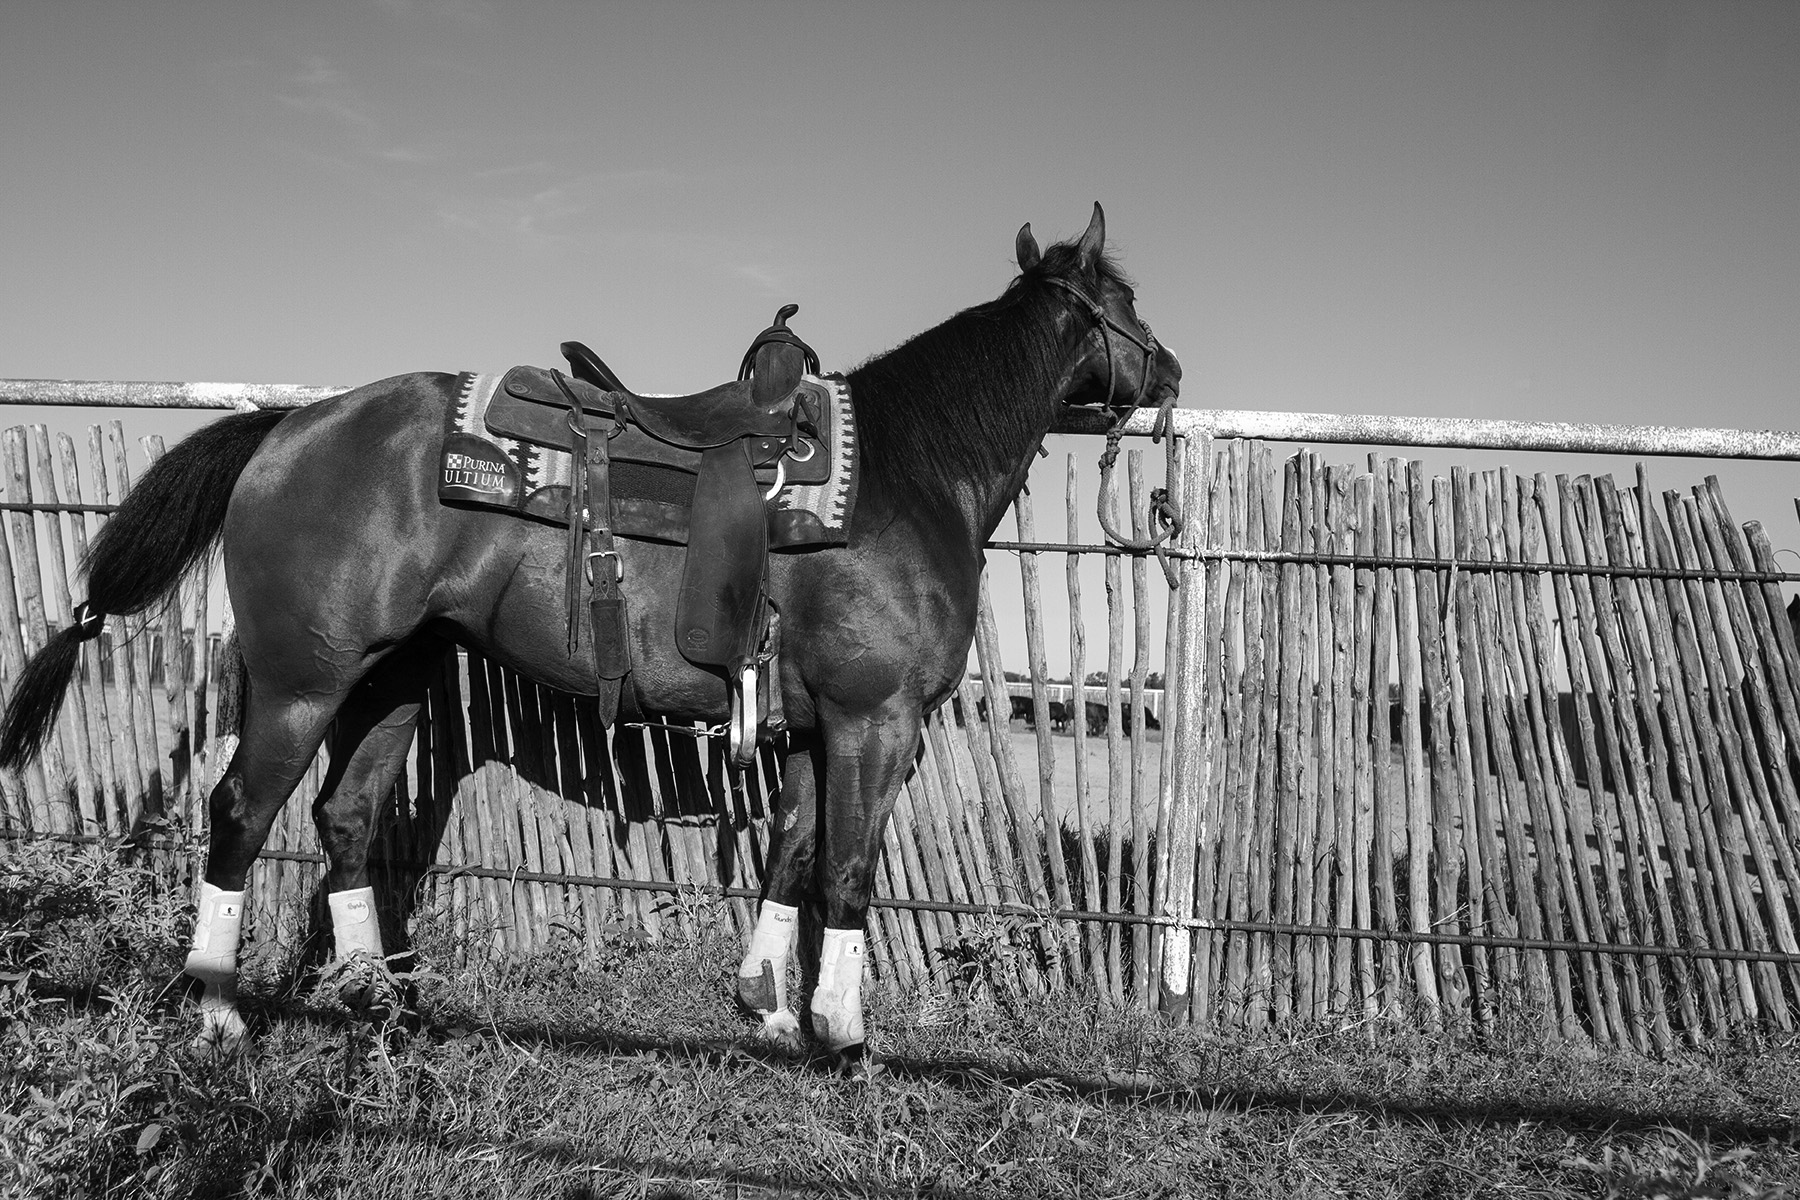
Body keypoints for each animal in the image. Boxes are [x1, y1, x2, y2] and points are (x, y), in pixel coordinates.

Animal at [0, 204, 1180, 1063]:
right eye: (1123, 298)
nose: (1170, 372)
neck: (907, 471)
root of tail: (290, 424)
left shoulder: (808, 729)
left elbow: (792, 855)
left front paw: (770, 1010)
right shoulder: (874, 720)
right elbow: (847, 872)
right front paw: (844, 1036)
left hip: (392, 680)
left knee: (343, 819)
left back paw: (382, 1004)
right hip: (302, 682)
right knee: (241, 813)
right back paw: (216, 1009)